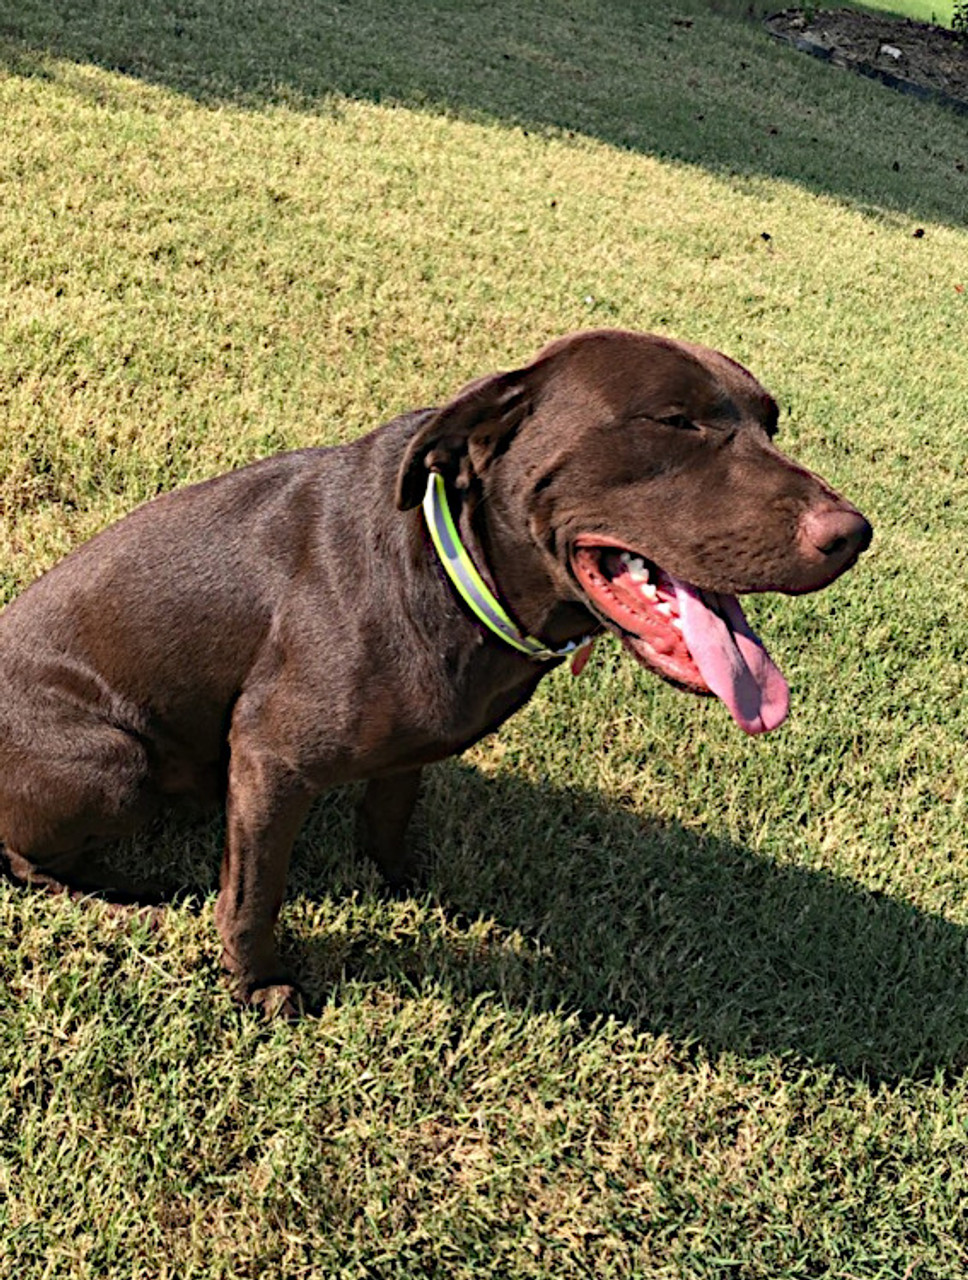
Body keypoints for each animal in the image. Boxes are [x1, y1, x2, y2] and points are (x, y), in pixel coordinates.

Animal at [0, 330, 870, 1008]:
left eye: (771, 423)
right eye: (674, 421)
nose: (853, 534)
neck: (459, 569)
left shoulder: (405, 750)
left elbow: (388, 816)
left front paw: (400, 886)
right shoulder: (272, 758)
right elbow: (253, 895)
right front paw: (258, 986)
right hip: (115, 764)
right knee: (20, 858)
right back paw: (121, 902)